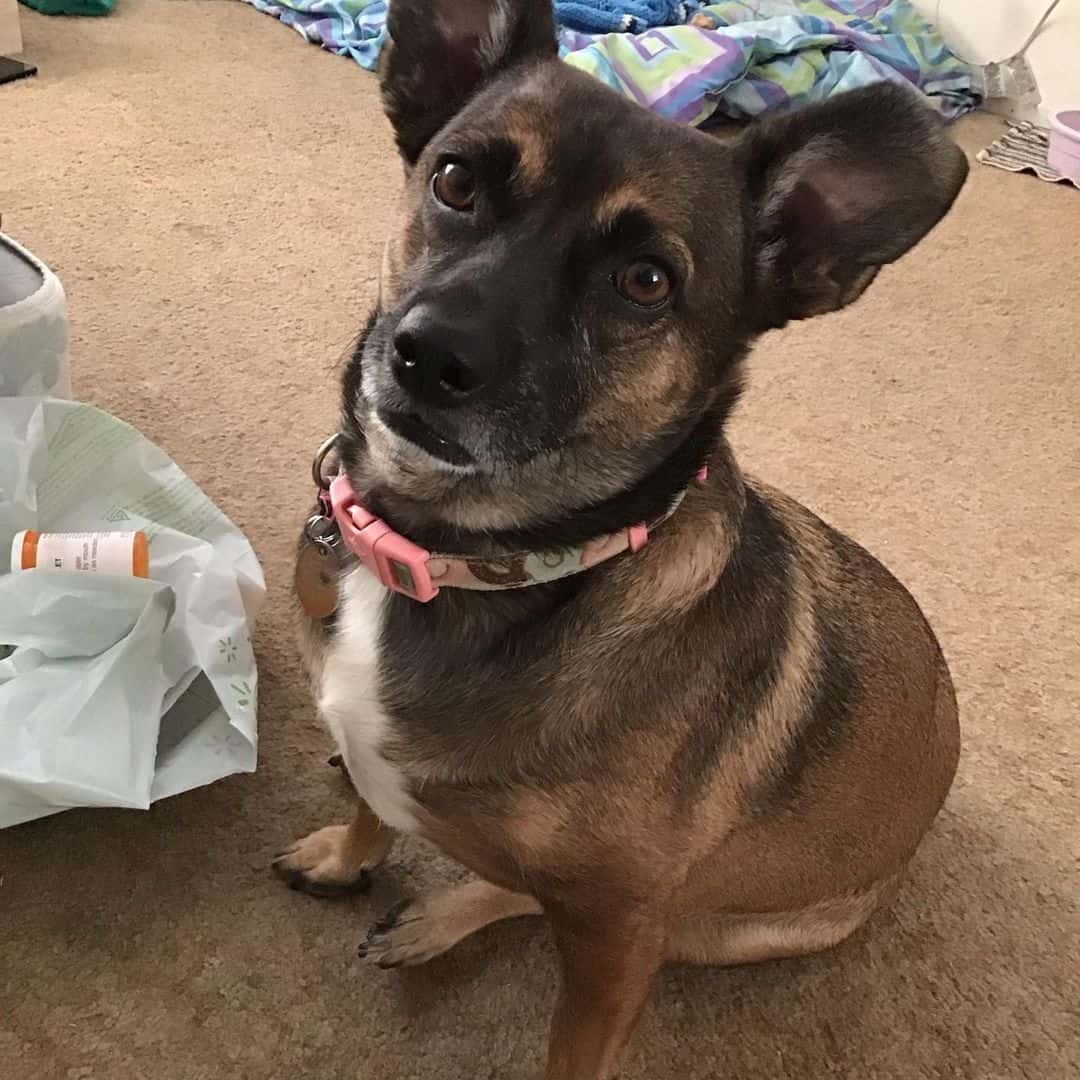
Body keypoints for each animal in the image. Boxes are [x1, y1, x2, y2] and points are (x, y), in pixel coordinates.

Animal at [274, 4, 967, 1075]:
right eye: (456, 181)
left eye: (646, 282)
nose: (430, 355)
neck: (470, 562)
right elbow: (367, 805)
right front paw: (349, 854)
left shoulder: (617, 938)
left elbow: (573, 1045)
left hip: (714, 925)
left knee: (538, 896)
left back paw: (440, 918)